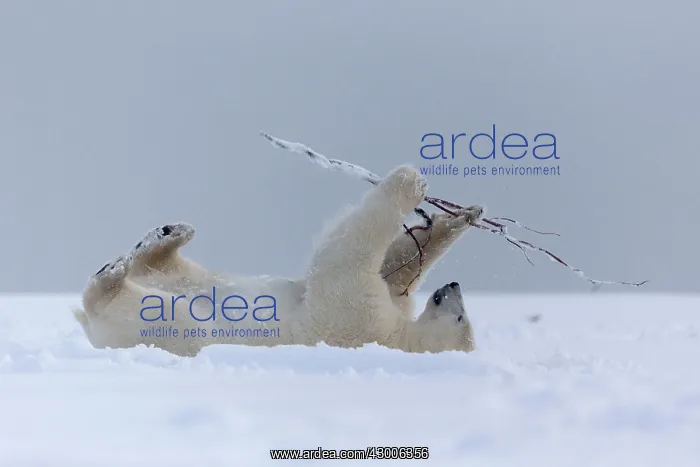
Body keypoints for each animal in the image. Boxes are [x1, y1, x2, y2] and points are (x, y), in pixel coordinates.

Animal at [73, 165, 482, 356]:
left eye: (463, 318)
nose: (454, 285)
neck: (399, 341)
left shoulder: (361, 323)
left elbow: (345, 260)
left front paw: (409, 180)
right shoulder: (387, 311)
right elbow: (395, 272)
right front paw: (460, 217)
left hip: (166, 329)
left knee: (162, 309)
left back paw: (113, 274)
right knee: (178, 271)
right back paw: (169, 234)